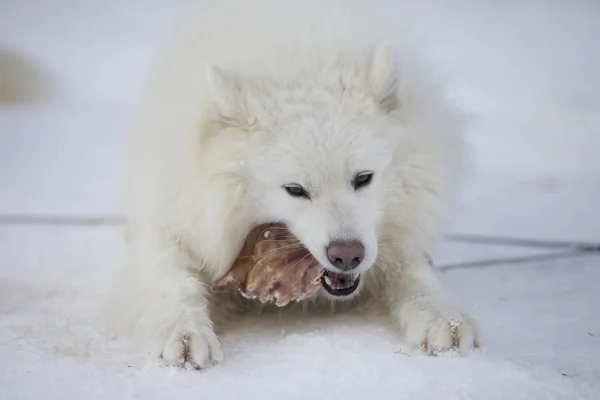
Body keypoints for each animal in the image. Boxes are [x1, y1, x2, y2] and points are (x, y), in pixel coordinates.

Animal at [110, 0, 480, 368]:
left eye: (363, 178)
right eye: (295, 190)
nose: (347, 255)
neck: (297, 57)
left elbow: (414, 276)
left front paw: (443, 318)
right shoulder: (175, 222)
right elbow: (173, 281)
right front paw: (183, 333)